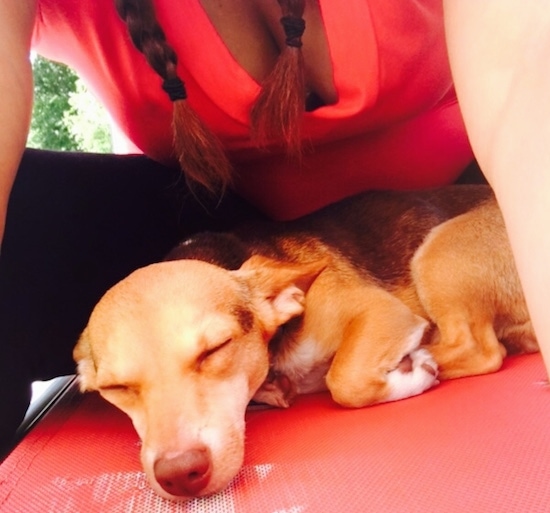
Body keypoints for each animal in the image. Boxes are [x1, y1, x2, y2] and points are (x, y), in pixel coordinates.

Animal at [73, 184, 540, 500]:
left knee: (480, 350)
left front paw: (410, 375)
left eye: (216, 348)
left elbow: (345, 381)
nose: (179, 474)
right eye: (115, 389)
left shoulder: (380, 311)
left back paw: (425, 355)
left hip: (438, 251)